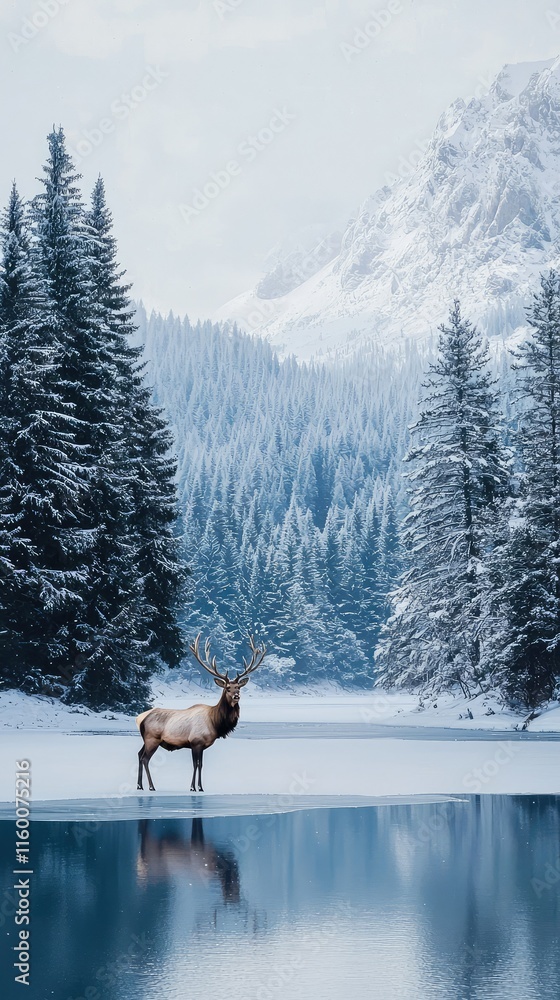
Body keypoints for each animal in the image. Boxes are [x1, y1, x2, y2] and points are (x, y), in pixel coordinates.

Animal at [135, 634, 267, 792]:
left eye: (238, 687)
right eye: (227, 688)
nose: (236, 696)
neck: (215, 722)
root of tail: (140, 718)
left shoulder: (202, 745)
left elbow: (201, 765)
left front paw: (201, 787)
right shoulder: (195, 742)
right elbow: (195, 764)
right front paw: (193, 787)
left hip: (146, 739)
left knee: (139, 754)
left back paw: (139, 785)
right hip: (152, 738)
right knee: (145, 758)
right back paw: (151, 786)